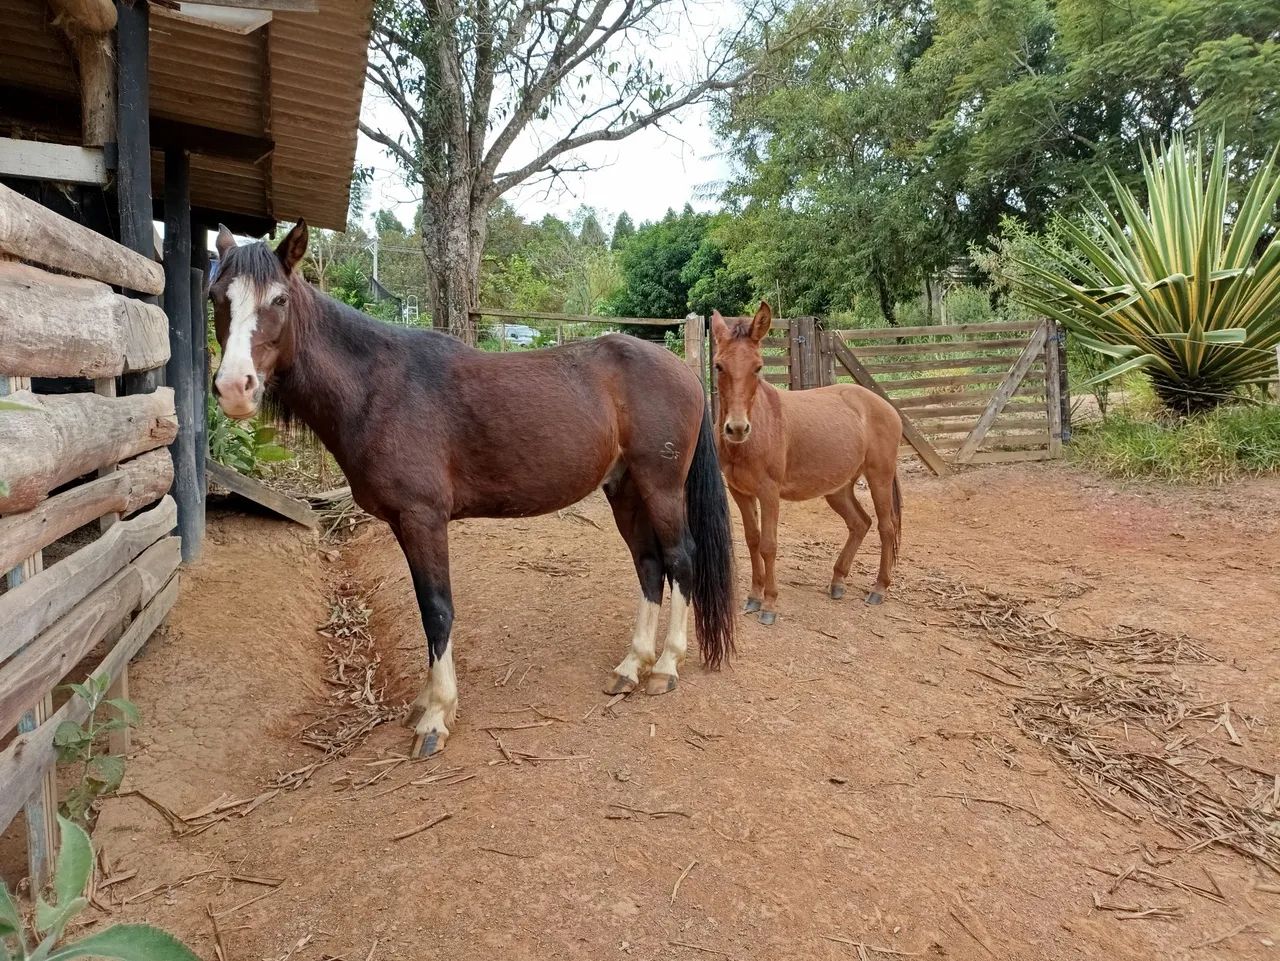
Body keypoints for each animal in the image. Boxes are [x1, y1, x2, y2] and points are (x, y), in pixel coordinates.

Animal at [209, 222, 736, 756]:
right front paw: (426, 702)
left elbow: (437, 610)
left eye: (278, 299)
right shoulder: (404, 524)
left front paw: (437, 715)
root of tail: (682, 369)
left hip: (661, 487)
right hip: (624, 488)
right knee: (649, 564)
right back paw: (632, 666)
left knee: (680, 559)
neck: (379, 389)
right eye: (216, 297)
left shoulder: (423, 519)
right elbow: (426, 610)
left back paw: (666, 667)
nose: (234, 388)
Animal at [711, 303, 903, 624]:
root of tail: (885, 406)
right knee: (860, 523)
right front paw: (753, 597)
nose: (737, 428)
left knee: (886, 527)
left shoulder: (768, 493)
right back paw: (838, 582)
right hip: (838, 488)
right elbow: (752, 540)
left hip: (879, 477)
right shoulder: (740, 492)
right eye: (718, 366)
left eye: (758, 367)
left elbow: (768, 545)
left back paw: (879, 588)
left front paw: (769, 605)